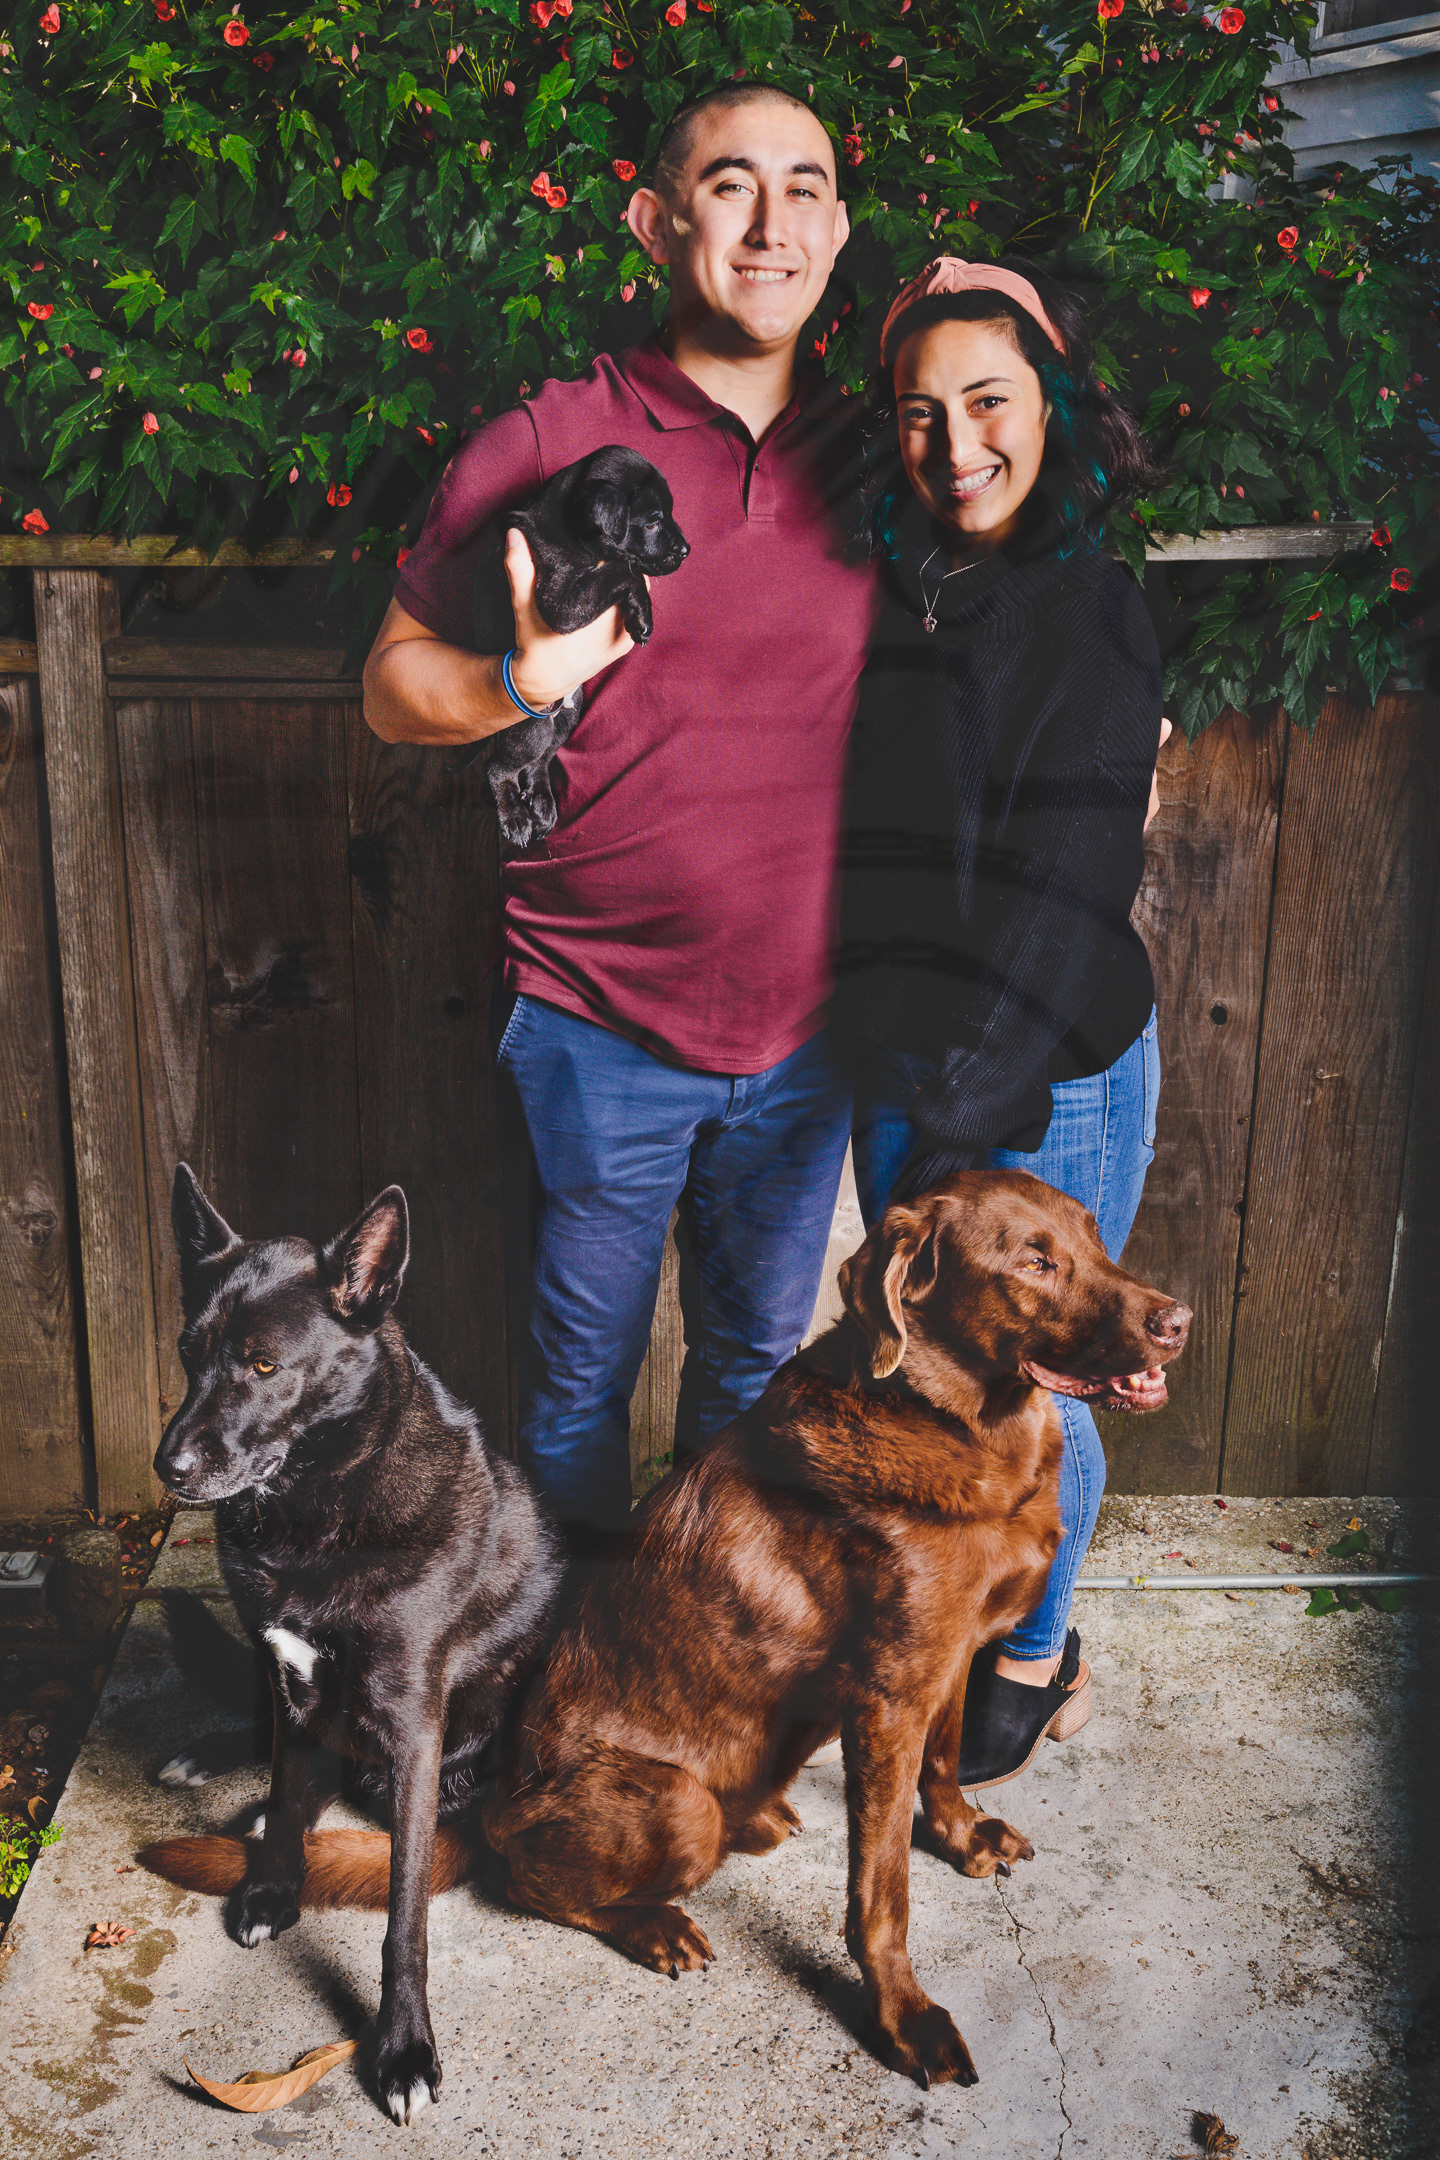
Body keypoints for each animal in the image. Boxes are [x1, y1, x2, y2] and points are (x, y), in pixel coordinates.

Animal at [138, 1165, 564, 2127]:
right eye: (187, 1352)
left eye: (264, 1365)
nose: (168, 1469)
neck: (317, 1504)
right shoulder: (288, 1676)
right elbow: (287, 1776)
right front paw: (271, 1883)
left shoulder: (412, 1726)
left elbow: (405, 1917)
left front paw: (402, 2048)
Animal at [179, 1170, 1187, 2094]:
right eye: (1033, 1261)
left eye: (1094, 1240)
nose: (1179, 1320)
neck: (967, 1432)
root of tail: (488, 1800)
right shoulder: (891, 1697)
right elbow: (882, 1894)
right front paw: (903, 2016)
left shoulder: (950, 1658)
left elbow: (944, 1765)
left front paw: (961, 1833)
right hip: (675, 1803)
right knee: (528, 1881)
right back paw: (652, 1922)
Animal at [457, 444, 690, 849]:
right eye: (653, 520)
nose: (687, 550)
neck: (567, 527)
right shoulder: (561, 603)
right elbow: (623, 569)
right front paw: (641, 608)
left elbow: (620, 571)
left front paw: (640, 613)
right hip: (530, 727)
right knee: (499, 767)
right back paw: (515, 817)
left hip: (567, 715)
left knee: (539, 762)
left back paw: (542, 805)